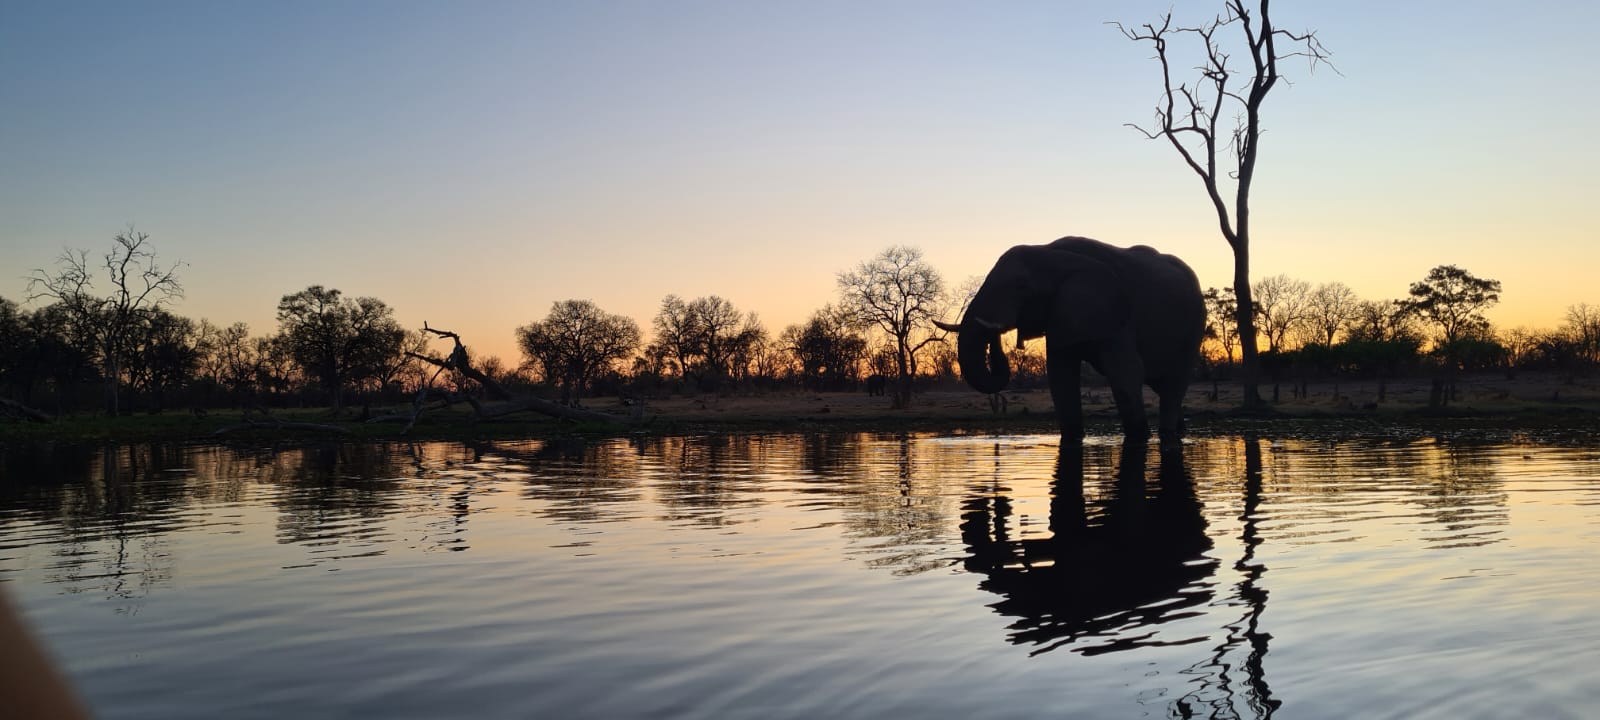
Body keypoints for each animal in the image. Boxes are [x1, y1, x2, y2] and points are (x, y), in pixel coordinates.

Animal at [934, 236, 1205, 440]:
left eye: (1022, 286)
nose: (995, 336)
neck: (1048, 252)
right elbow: (1060, 378)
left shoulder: (1116, 314)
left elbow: (1125, 374)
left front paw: (1140, 437)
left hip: (1193, 328)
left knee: (1172, 385)